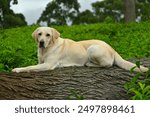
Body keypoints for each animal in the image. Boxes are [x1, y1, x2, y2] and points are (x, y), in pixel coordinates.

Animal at [12, 26, 149, 72]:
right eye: (39, 34)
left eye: (48, 35)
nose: (41, 42)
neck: (46, 49)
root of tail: (113, 49)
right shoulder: (41, 61)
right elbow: (33, 64)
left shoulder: (48, 64)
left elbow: (30, 67)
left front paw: (17, 69)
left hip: (92, 49)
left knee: (107, 64)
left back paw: (89, 64)